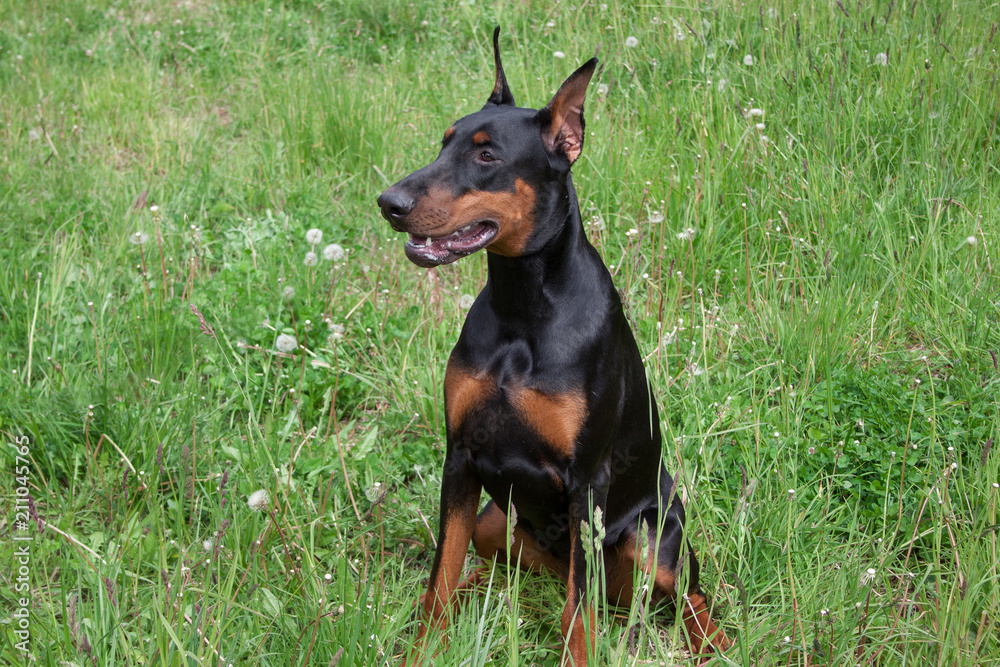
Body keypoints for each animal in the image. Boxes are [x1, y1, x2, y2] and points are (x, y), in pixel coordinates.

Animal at [378, 27, 732, 667]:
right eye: (443, 144)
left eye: (487, 155)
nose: (389, 202)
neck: (523, 312)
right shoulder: (460, 456)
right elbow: (440, 575)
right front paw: (423, 648)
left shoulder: (586, 483)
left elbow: (577, 610)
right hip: (498, 520)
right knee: (495, 569)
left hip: (655, 534)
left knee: (687, 594)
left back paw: (713, 641)